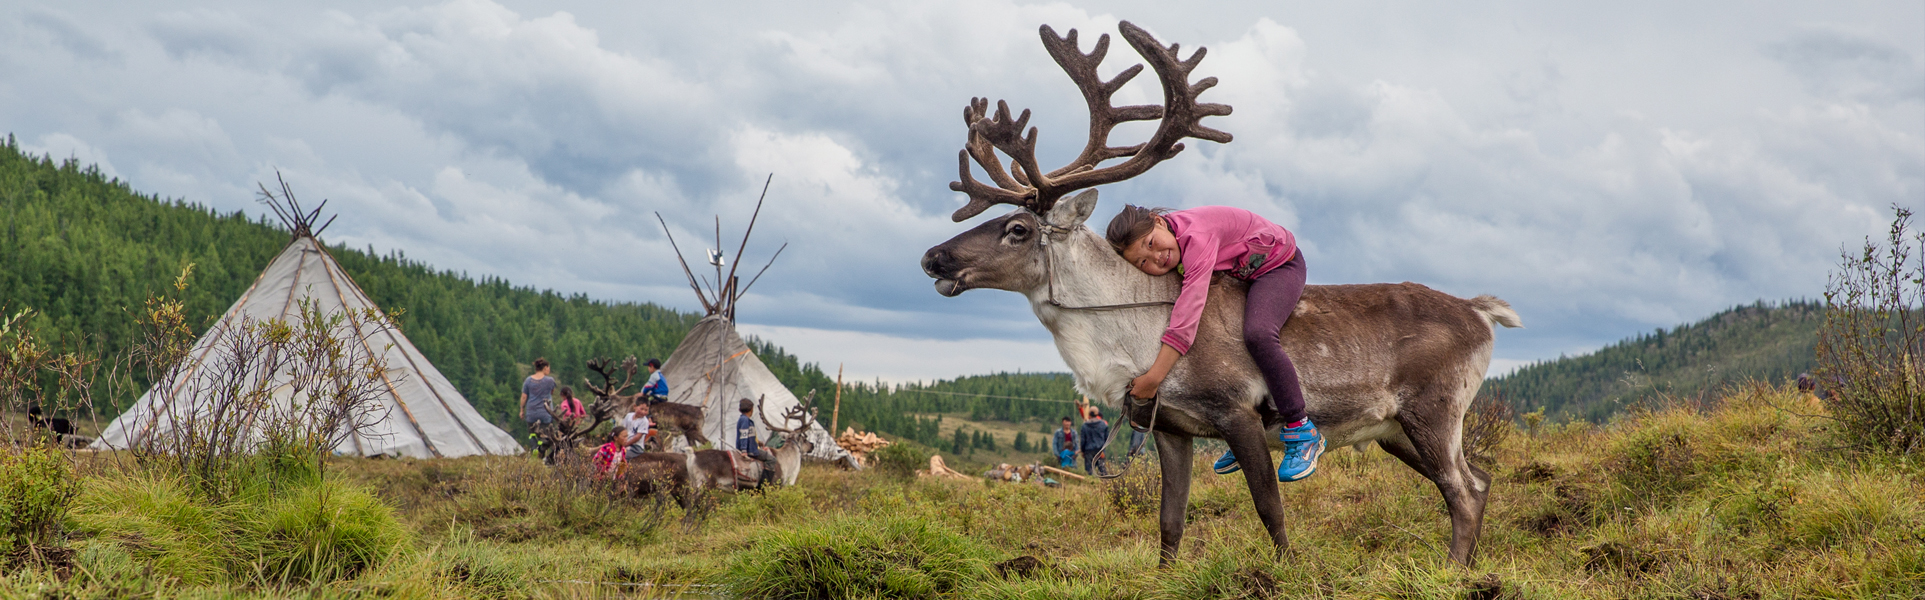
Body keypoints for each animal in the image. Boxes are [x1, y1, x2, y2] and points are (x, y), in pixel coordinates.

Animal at [920, 22, 1522, 567]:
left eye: (1019, 229)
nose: (932, 258)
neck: (1131, 337)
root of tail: (1480, 312)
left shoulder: (1238, 414)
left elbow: (1269, 506)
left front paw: (1288, 571)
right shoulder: (1169, 429)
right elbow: (1170, 519)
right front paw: (1164, 577)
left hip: (1433, 412)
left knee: (1463, 490)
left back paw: (1452, 570)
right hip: (1395, 429)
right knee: (1481, 478)